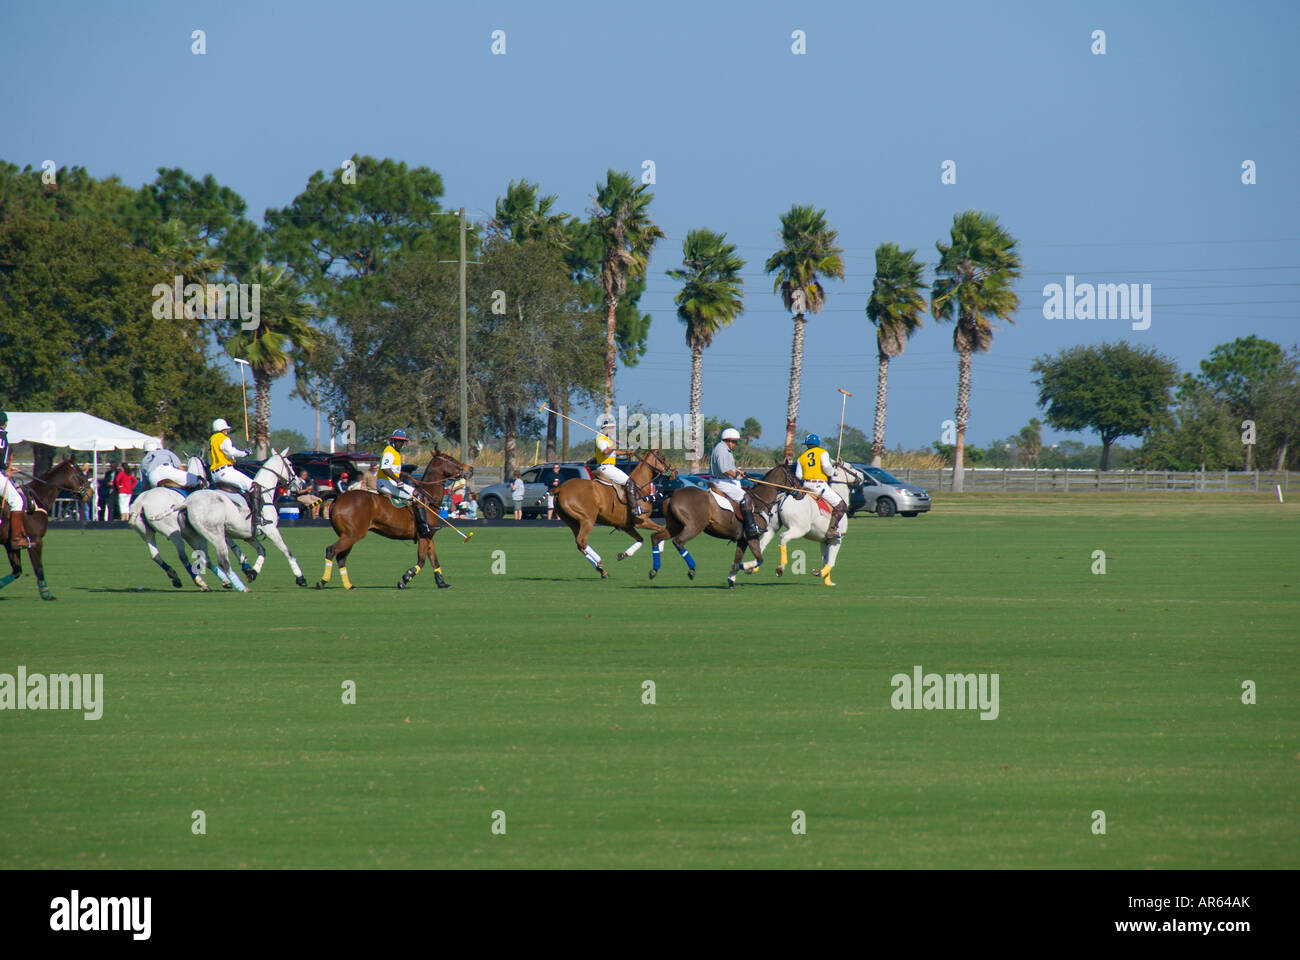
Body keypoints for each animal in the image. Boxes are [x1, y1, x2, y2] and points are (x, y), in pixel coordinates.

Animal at [0, 455, 92, 598]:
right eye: (81, 473)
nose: (91, 492)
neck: (38, 497)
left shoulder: (10, 544)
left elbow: (17, 571)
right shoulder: (35, 540)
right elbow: (38, 568)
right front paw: (46, 594)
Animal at [182, 447, 308, 590]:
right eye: (290, 464)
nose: (300, 483)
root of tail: (188, 503)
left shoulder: (248, 535)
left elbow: (261, 550)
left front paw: (252, 572)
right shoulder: (271, 530)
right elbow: (287, 551)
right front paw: (300, 578)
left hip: (198, 535)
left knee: (203, 558)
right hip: (213, 533)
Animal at [315, 444, 473, 587]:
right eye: (451, 458)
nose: (470, 469)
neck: (429, 498)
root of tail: (338, 498)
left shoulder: (429, 536)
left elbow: (434, 560)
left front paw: (442, 583)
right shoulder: (423, 535)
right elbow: (421, 561)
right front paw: (405, 578)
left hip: (348, 534)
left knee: (341, 557)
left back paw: (349, 585)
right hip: (352, 534)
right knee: (331, 550)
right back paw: (322, 582)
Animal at [650, 460, 800, 587]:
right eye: (793, 475)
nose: (801, 492)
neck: (760, 501)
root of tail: (672, 496)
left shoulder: (743, 540)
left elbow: (738, 559)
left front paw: (731, 580)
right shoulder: (752, 537)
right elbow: (759, 559)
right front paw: (747, 568)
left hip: (674, 526)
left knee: (655, 537)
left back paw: (654, 570)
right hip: (694, 526)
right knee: (678, 541)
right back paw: (691, 569)